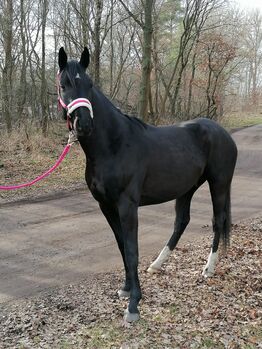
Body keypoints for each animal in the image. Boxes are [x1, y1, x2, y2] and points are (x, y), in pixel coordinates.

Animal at [58, 46, 238, 320]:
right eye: (63, 85)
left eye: (89, 84)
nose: (84, 124)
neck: (113, 145)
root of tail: (223, 133)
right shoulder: (106, 206)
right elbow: (122, 246)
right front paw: (126, 289)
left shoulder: (127, 206)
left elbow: (132, 251)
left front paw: (133, 305)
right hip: (187, 188)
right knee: (181, 221)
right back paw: (157, 264)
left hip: (218, 184)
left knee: (218, 221)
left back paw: (208, 268)